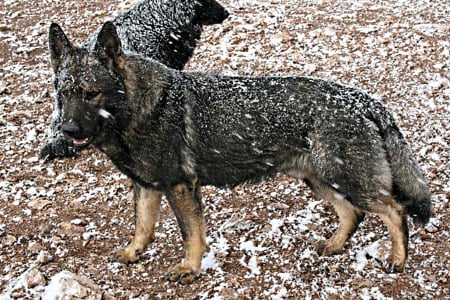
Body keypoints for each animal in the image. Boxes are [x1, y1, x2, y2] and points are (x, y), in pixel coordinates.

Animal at [47, 21, 430, 284]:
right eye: (64, 94)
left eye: (92, 94)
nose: (68, 130)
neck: (135, 108)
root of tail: (364, 100)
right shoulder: (146, 187)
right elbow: (142, 226)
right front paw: (134, 253)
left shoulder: (180, 187)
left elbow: (191, 234)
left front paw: (190, 268)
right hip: (321, 181)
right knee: (353, 214)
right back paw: (334, 246)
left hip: (345, 179)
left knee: (395, 211)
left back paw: (398, 259)